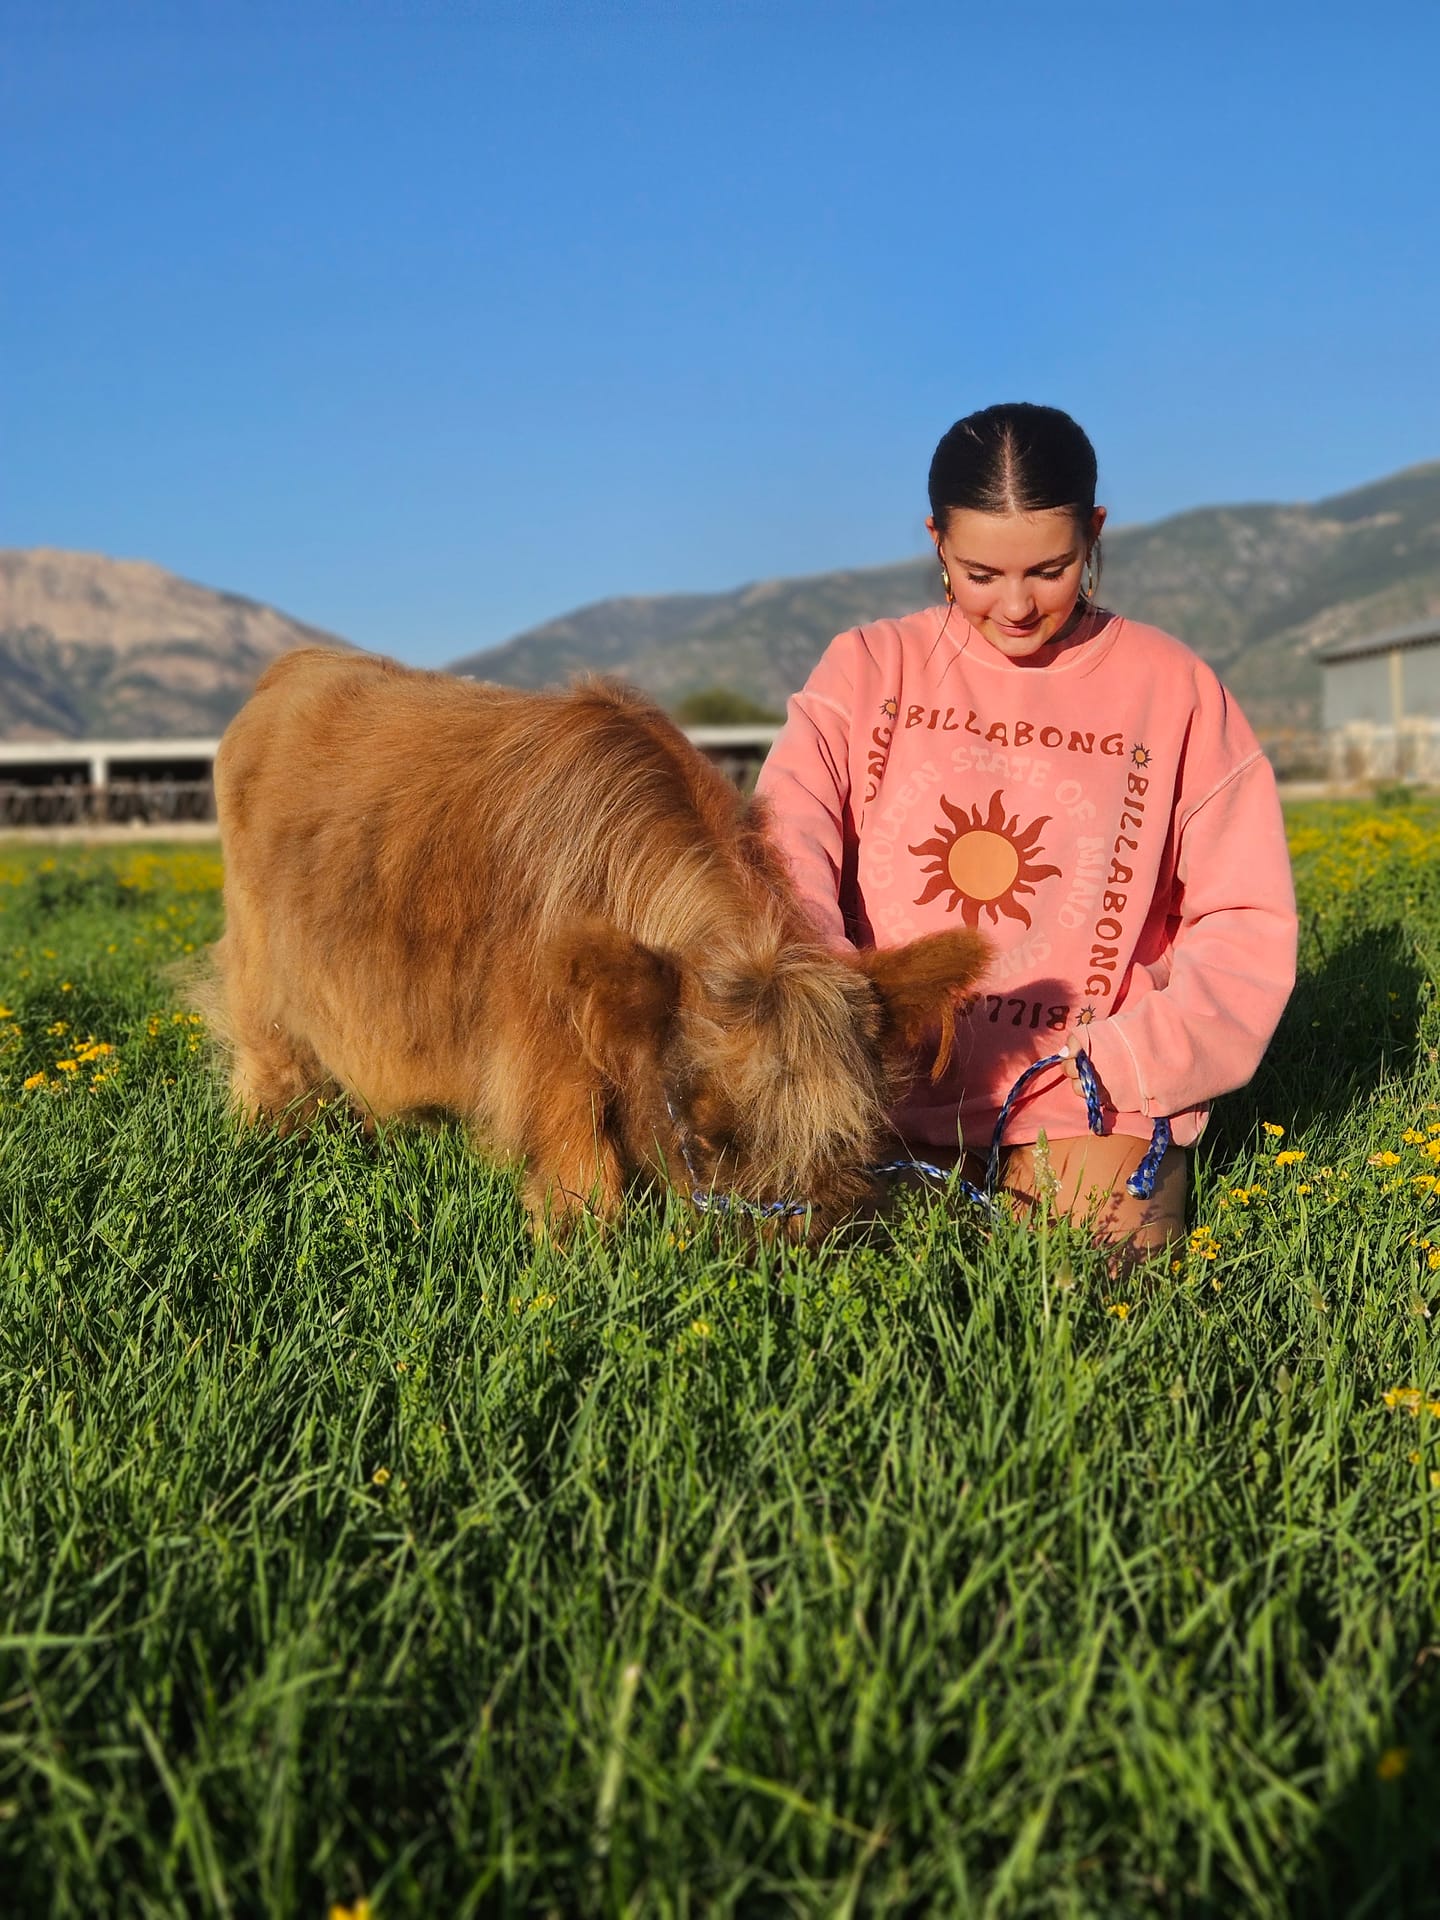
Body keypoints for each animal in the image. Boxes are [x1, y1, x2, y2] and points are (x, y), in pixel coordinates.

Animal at [205, 648, 988, 1236]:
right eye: (703, 1134)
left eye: (846, 1137)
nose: (792, 1260)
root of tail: (301, 663)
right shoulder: (539, 1039)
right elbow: (582, 1164)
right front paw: (576, 1237)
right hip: (258, 962)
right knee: (269, 1059)